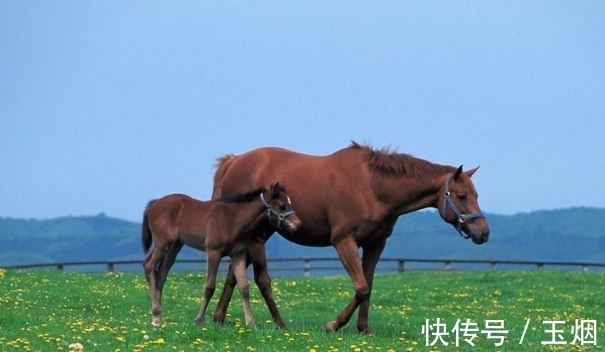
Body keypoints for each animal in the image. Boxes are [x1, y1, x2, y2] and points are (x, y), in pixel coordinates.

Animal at [142, 183, 302, 328]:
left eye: (289, 203)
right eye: (282, 206)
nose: (298, 225)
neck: (232, 219)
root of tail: (155, 203)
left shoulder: (238, 254)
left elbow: (244, 287)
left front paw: (251, 323)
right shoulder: (213, 252)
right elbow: (209, 287)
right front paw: (199, 320)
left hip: (175, 246)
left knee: (161, 273)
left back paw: (159, 316)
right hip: (163, 242)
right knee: (149, 265)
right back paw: (155, 317)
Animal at [210, 142, 488, 334]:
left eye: (476, 194)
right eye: (462, 196)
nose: (484, 232)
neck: (372, 187)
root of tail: (234, 161)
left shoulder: (375, 244)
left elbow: (368, 285)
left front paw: (364, 328)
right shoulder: (344, 241)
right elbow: (361, 287)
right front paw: (333, 324)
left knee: (234, 274)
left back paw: (218, 318)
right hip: (257, 236)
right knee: (256, 278)